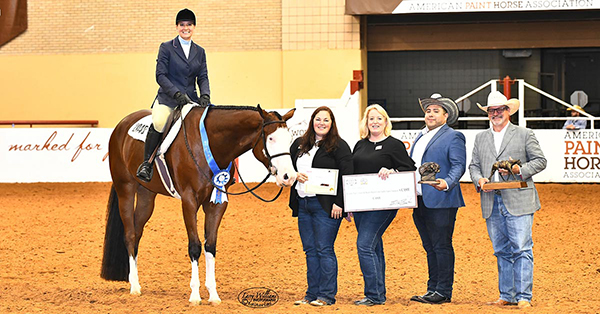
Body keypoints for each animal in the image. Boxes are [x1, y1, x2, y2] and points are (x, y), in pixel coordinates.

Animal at [101, 104, 298, 306]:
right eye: (271, 138)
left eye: (290, 138)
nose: (289, 177)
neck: (210, 144)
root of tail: (122, 125)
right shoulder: (189, 200)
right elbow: (195, 246)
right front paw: (195, 295)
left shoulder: (216, 203)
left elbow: (210, 245)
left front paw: (213, 295)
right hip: (125, 188)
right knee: (130, 235)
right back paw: (134, 286)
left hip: (146, 195)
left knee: (137, 233)